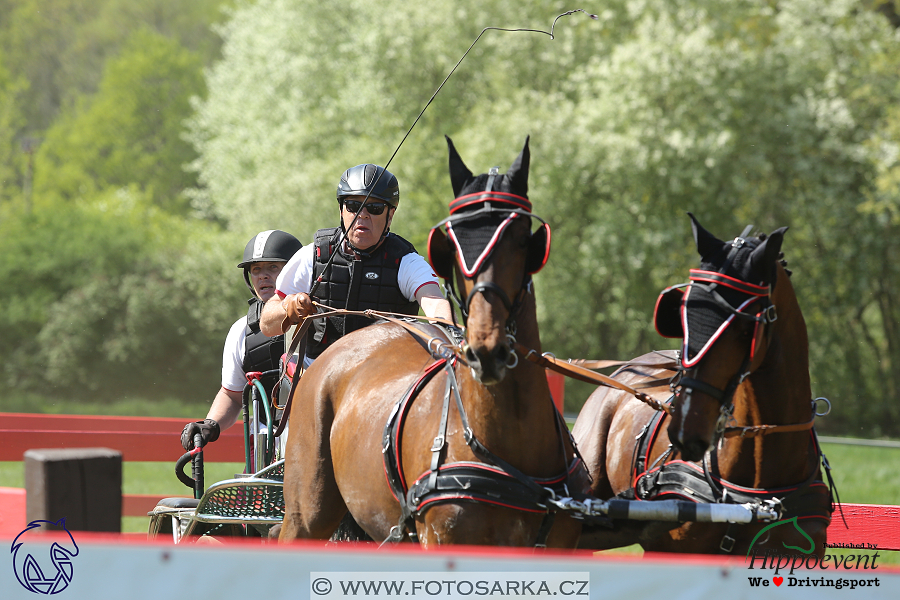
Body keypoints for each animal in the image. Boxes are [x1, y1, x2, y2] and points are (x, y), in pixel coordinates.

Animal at [282, 137, 592, 548]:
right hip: (307, 513)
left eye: (523, 240)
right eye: (452, 243)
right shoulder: (443, 538)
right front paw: (295, 303)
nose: (487, 349)